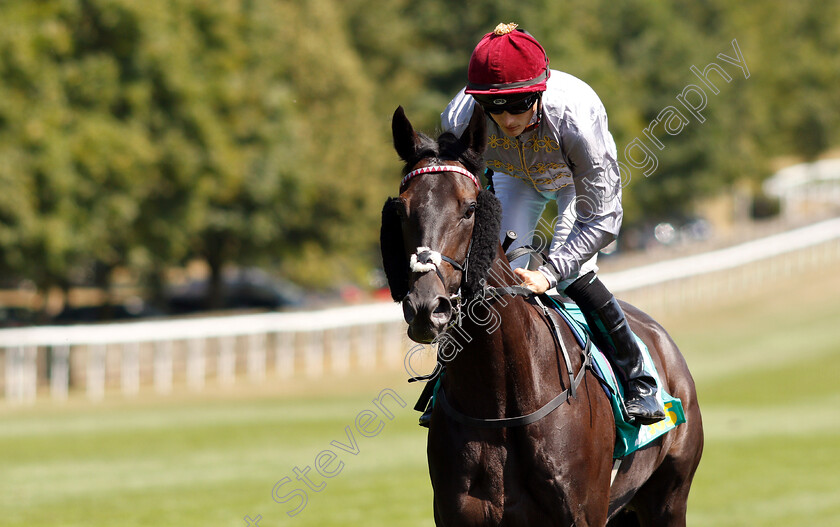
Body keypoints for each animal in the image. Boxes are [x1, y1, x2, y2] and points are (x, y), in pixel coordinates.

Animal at [380, 105, 704, 524]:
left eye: (470, 209)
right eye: (401, 210)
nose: (425, 308)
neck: (498, 403)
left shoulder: (584, 513)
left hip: (669, 499)